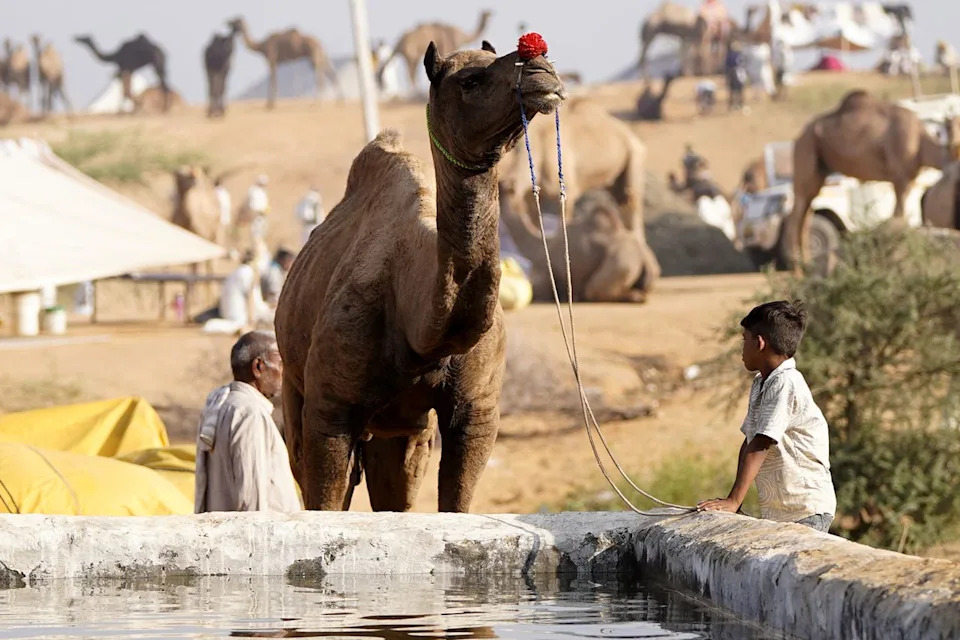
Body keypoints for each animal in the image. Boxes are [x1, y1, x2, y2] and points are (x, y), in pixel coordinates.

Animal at [274, 40, 565, 512]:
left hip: (402, 434)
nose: (542, 69)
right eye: (470, 80)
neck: (420, 331)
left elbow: (457, 503)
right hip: (294, 389)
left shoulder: (476, 414)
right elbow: (324, 502)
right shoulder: (329, 409)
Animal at [783, 91, 960, 268]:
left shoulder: (908, 179)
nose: (953, 143)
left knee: (806, 216)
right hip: (805, 152)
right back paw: (796, 267)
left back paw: (808, 263)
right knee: (796, 215)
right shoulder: (901, 178)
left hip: (818, 173)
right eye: (948, 127)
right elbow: (899, 215)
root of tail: (798, 137)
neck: (920, 144)